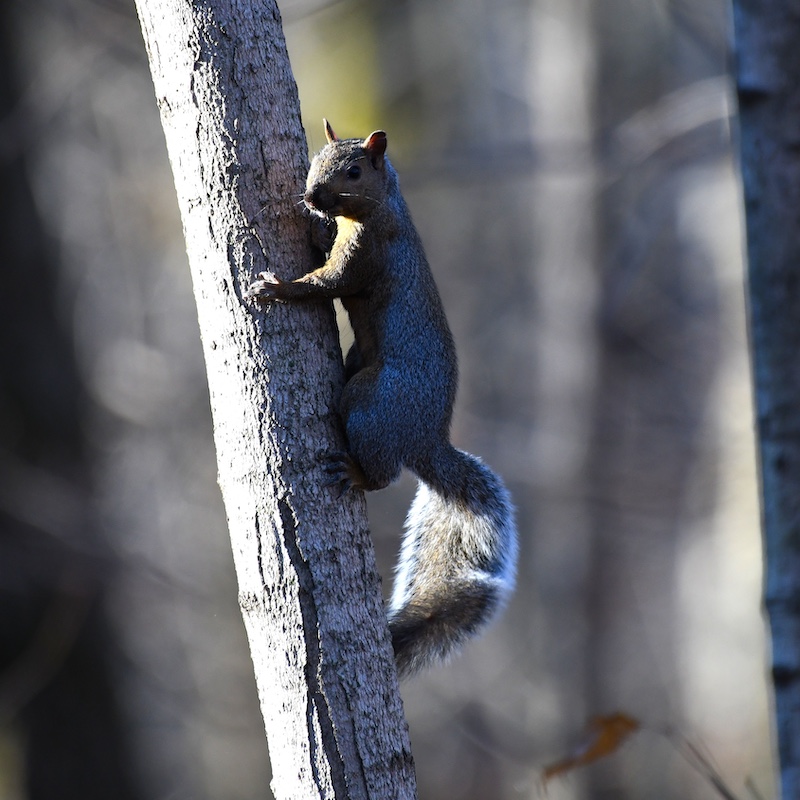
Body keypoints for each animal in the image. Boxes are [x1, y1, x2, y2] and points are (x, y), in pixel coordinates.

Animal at [246, 120, 517, 678]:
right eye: (317, 158)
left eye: (353, 172)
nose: (311, 195)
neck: (378, 208)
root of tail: (426, 440)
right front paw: (312, 222)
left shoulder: (366, 255)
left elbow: (324, 284)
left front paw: (276, 288)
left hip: (372, 404)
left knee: (382, 473)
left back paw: (355, 473)